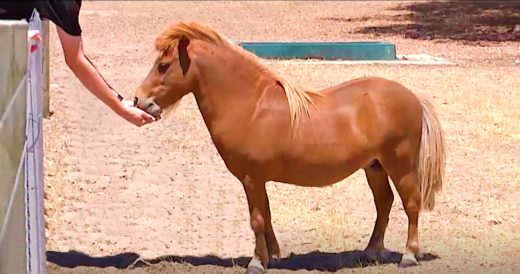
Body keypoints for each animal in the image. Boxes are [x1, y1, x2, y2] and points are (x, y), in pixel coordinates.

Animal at [134, 22, 446, 274]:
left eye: (163, 65)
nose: (139, 100)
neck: (250, 105)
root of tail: (412, 97)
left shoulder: (251, 178)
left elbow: (257, 219)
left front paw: (257, 263)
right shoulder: (257, 180)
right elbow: (267, 216)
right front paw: (272, 256)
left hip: (399, 165)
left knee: (411, 204)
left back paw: (408, 256)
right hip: (375, 167)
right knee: (384, 203)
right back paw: (370, 252)